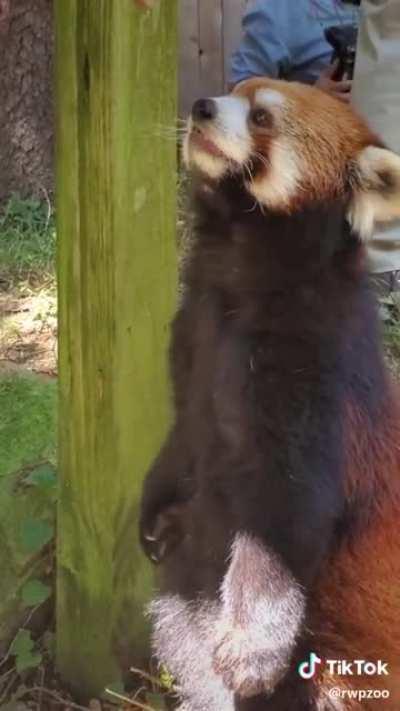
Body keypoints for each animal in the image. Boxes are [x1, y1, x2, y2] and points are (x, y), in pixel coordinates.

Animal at [139, 77, 400, 710]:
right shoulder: (194, 336)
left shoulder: (317, 368)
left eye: (260, 117)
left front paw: (252, 647)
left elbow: (284, 511)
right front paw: (152, 506)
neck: (240, 268)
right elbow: (184, 436)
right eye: (230, 92)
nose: (202, 107)